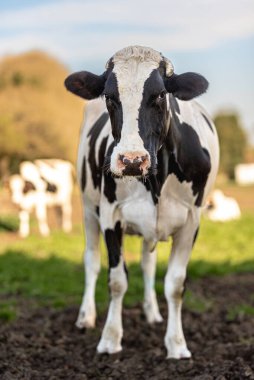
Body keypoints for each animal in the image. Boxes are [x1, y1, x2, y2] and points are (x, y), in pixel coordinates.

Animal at [64, 46, 219, 358]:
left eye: (159, 95)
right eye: (110, 97)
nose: (132, 160)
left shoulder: (191, 220)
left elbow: (175, 284)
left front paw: (177, 344)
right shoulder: (111, 215)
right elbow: (117, 280)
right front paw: (110, 339)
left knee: (148, 264)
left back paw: (152, 313)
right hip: (87, 208)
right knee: (91, 261)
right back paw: (86, 316)